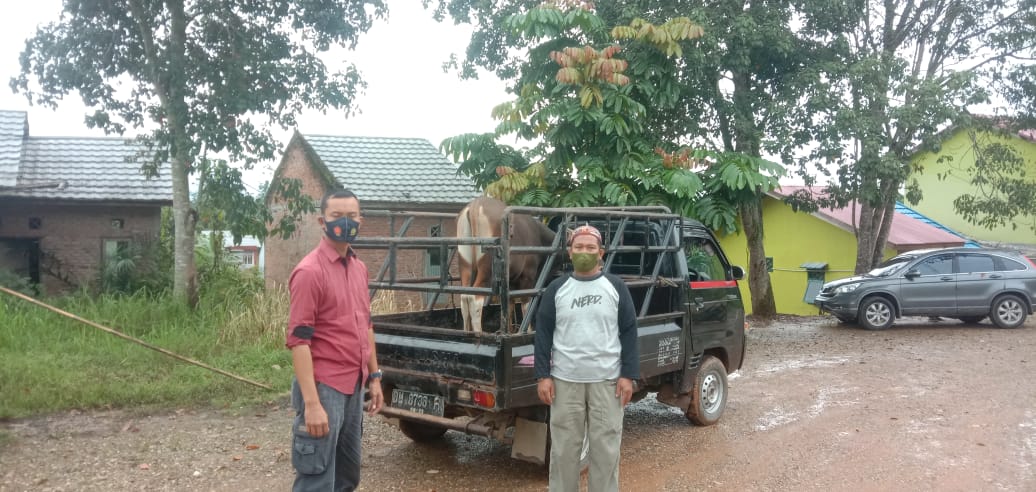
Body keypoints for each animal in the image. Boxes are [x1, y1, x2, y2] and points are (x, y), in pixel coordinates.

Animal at [455, 198, 555, 333]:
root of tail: (474, 207)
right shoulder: (527, 277)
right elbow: (526, 305)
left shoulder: (511, 281)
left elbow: (509, 306)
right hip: (486, 271)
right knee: (474, 298)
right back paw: (478, 333)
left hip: (466, 266)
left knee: (464, 297)